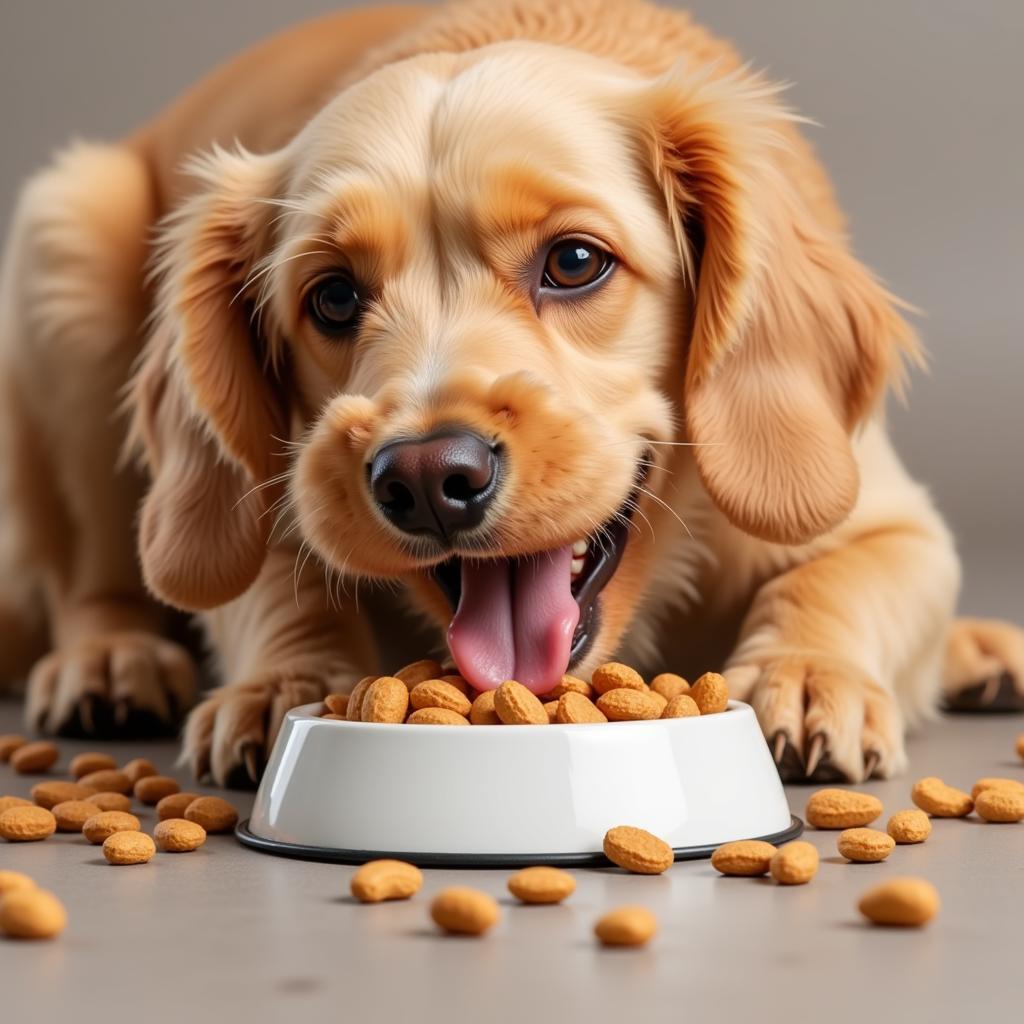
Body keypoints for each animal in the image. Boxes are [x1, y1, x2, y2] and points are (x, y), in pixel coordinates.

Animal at [0, 0, 1019, 786]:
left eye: (574, 262)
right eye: (332, 298)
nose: (424, 478)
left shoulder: (890, 518)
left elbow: (838, 577)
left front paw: (807, 677)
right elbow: (274, 590)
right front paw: (278, 689)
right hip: (67, 236)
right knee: (93, 575)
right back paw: (111, 658)